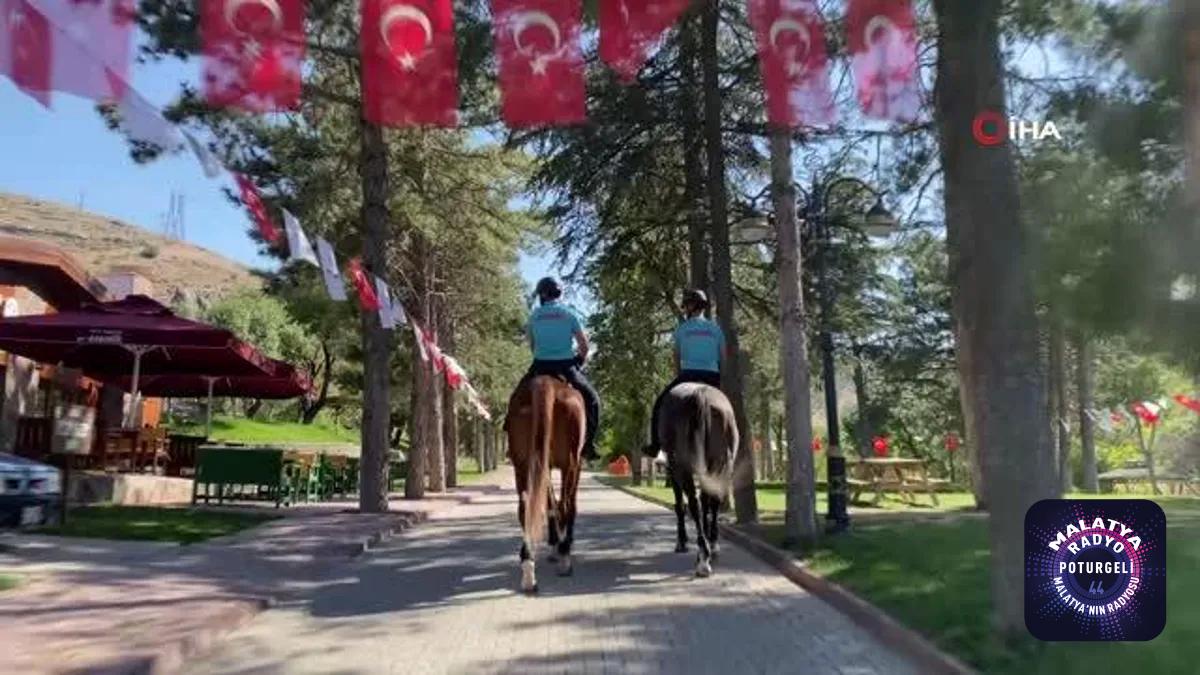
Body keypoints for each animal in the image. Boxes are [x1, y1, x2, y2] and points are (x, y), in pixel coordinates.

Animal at [504, 372, 583, 588]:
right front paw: (561, 544)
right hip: (569, 463)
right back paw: (564, 559)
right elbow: (565, 505)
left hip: (523, 464)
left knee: (525, 507)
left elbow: (549, 503)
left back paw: (528, 569)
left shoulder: (543, 466)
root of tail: (546, 383)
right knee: (565, 505)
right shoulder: (576, 464)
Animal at [657, 381, 739, 576]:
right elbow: (708, 502)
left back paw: (702, 557)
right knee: (712, 501)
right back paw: (710, 549)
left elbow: (680, 505)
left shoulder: (673, 470)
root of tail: (700, 395)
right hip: (720, 464)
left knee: (694, 504)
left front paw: (681, 542)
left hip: (682, 466)